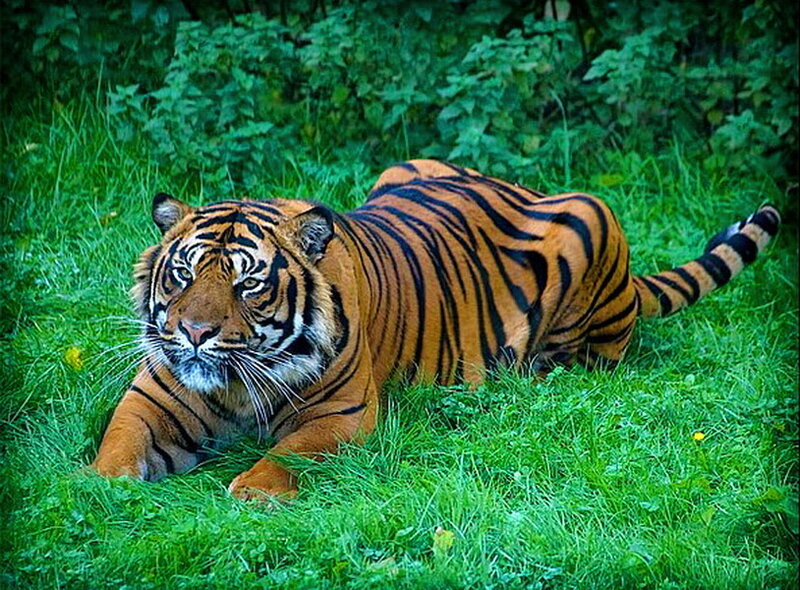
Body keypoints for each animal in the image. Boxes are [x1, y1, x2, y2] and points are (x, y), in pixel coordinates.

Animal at [92, 159, 781, 500]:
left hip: (595, 216)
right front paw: (94, 488)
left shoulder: (340, 414)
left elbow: (291, 453)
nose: (194, 333)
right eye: (183, 273)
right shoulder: (153, 396)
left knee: (590, 363)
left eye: (249, 283)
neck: (236, 385)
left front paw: (252, 490)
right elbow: (118, 445)